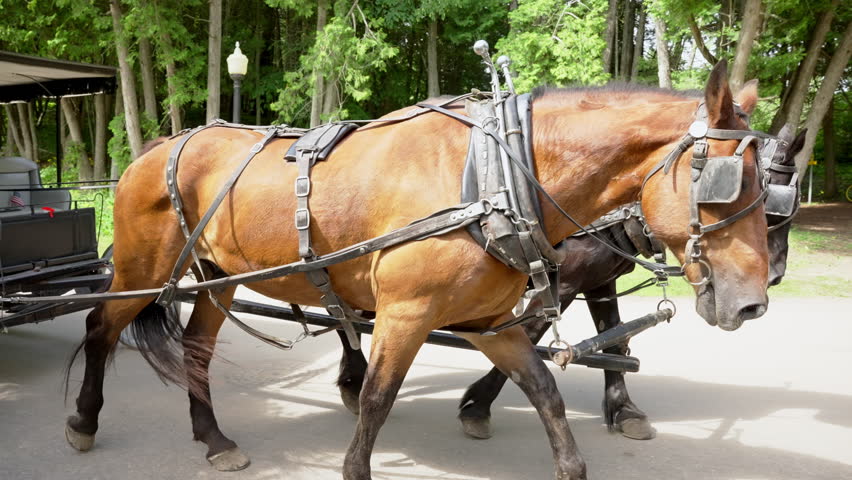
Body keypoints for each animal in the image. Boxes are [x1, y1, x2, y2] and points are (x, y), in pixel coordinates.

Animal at [333, 121, 807, 441]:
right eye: (764, 205)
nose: (774, 278)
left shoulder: (599, 283)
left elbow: (614, 341)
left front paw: (623, 410)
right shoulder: (559, 287)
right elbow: (530, 335)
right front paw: (477, 405)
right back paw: (355, 380)